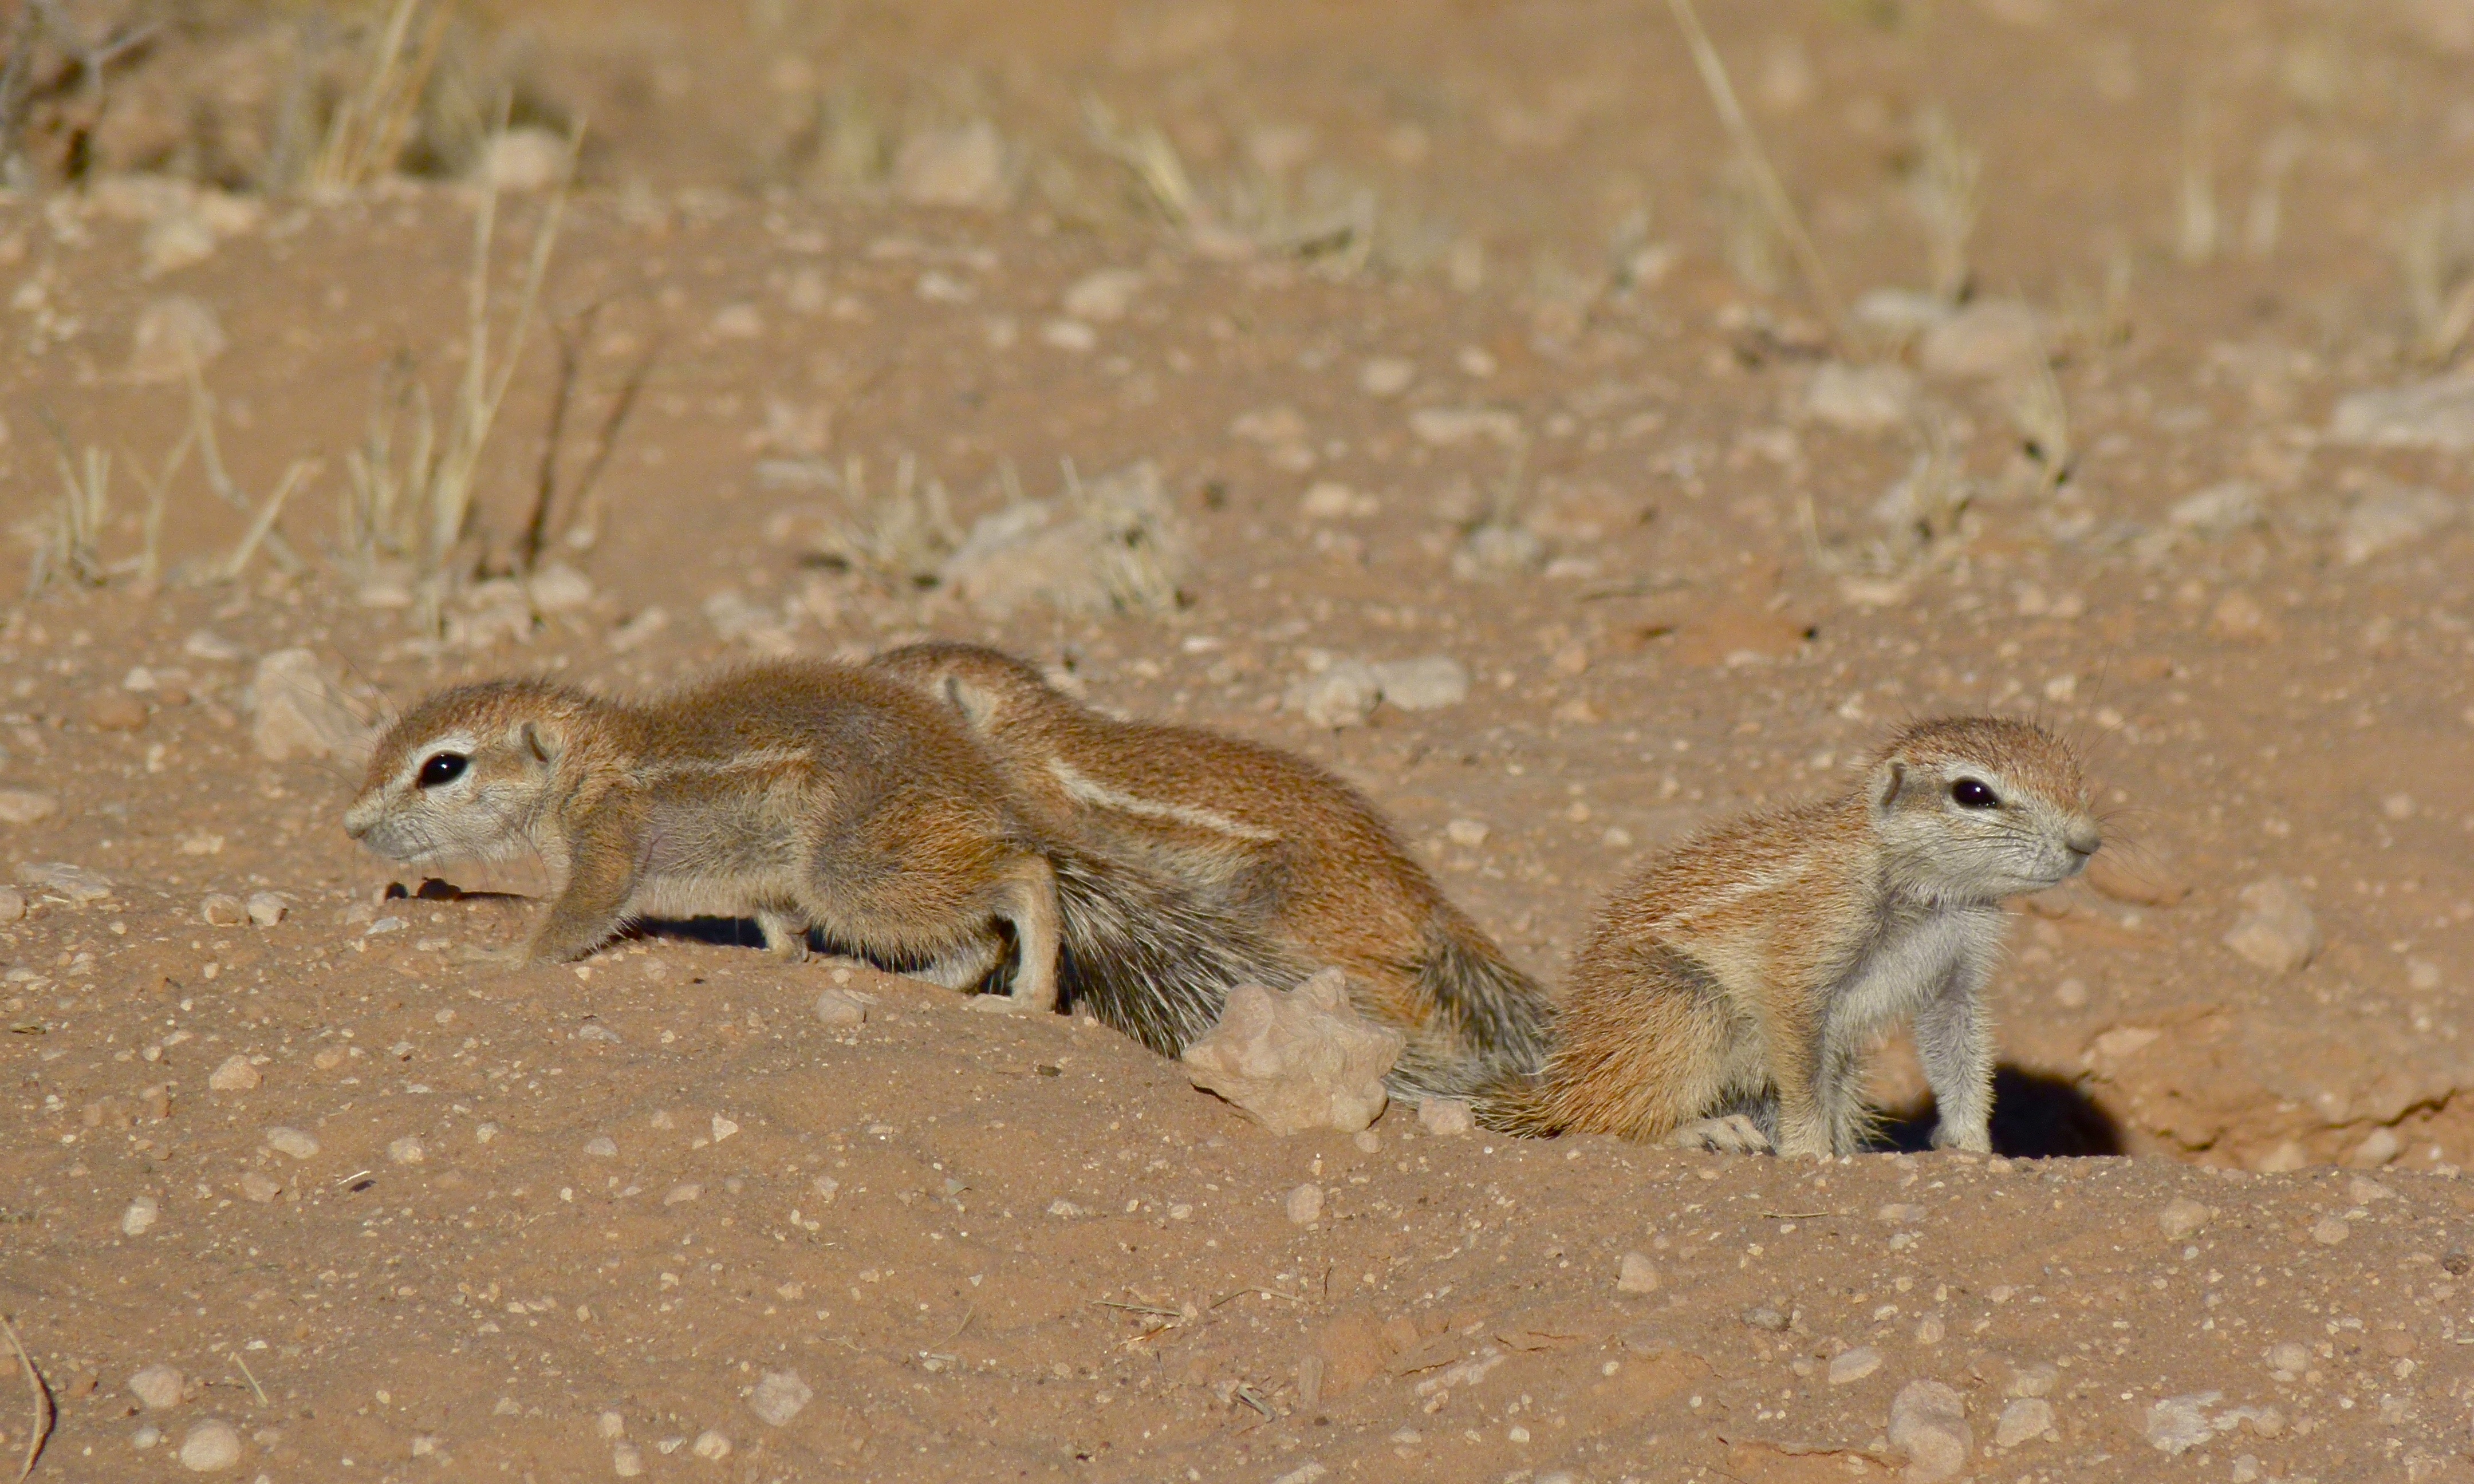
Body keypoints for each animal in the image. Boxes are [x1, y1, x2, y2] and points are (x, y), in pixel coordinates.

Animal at [351, 662, 1306, 1044]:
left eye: (443, 767)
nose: (353, 827)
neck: (589, 759)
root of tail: (986, 791)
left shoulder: (608, 842)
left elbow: (578, 914)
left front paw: (500, 956)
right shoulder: (768, 881)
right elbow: (777, 924)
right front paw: (786, 962)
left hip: (854, 869)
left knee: (1021, 878)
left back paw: (1028, 992)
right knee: (975, 937)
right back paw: (919, 987)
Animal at [1474, 717, 2098, 1157]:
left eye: (2073, 774)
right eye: (1973, 793)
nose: (2087, 842)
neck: (1926, 894)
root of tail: (1563, 1082)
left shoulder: (1959, 966)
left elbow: (1959, 1048)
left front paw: (1972, 1147)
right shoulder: (1810, 940)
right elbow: (1797, 1053)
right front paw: (1808, 1154)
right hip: (1681, 1000)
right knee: (1604, 1123)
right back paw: (1703, 1133)